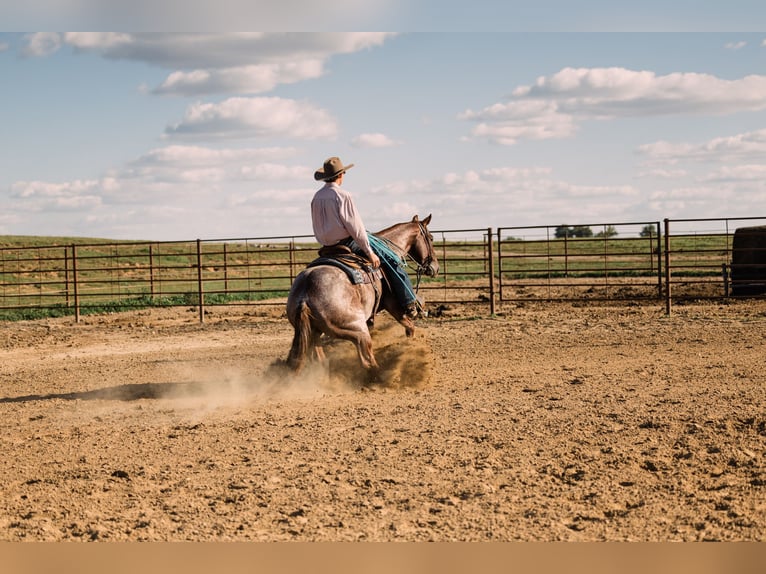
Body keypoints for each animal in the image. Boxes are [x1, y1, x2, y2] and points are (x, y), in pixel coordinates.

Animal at [286, 214, 444, 380]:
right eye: (431, 238)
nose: (435, 268)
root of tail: (305, 294)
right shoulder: (393, 305)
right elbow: (410, 327)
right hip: (356, 330)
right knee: (367, 361)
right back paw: (387, 375)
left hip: (314, 332)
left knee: (319, 358)